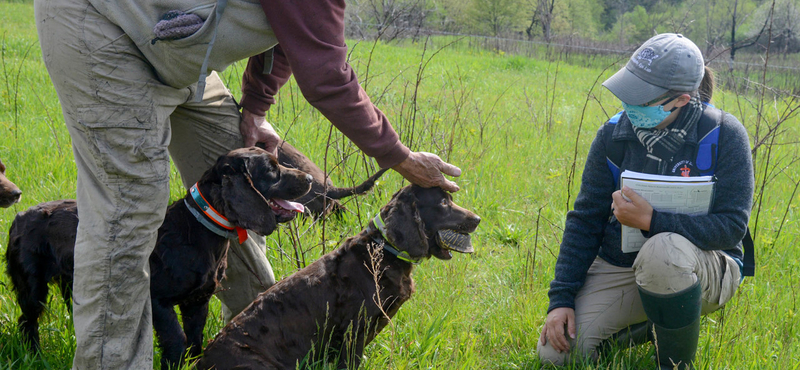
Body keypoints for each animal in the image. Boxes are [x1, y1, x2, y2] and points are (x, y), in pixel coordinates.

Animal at [5, 148, 312, 370]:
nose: (310, 179)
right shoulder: (157, 299)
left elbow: (195, 340)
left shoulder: (197, 301)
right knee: (27, 321)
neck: (198, 228)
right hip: (32, 286)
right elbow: (176, 340)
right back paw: (34, 356)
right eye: (272, 171)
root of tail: (20, 215)